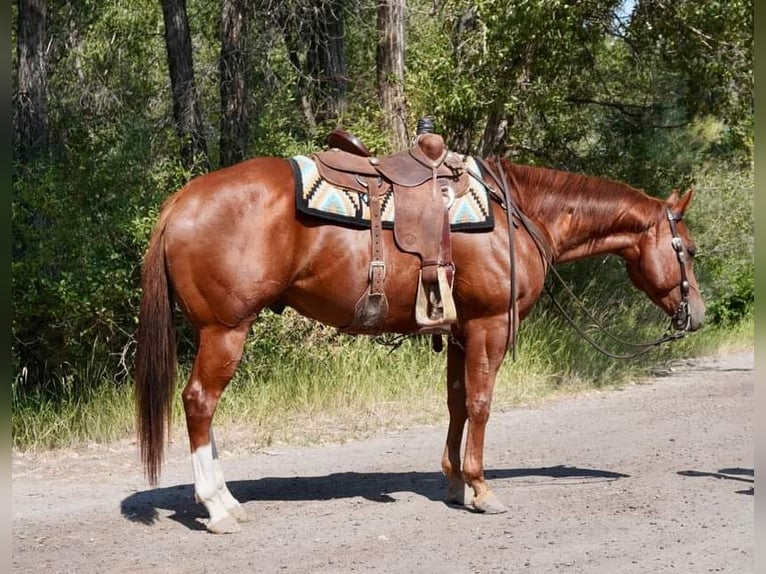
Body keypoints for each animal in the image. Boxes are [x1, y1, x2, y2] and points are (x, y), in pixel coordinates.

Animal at [135, 143, 704, 536]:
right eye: (690, 249)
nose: (696, 314)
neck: (518, 214)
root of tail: (181, 200)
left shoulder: (459, 330)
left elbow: (456, 402)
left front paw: (453, 484)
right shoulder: (489, 325)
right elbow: (481, 403)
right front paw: (481, 488)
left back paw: (226, 499)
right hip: (225, 331)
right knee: (199, 403)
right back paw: (217, 508)